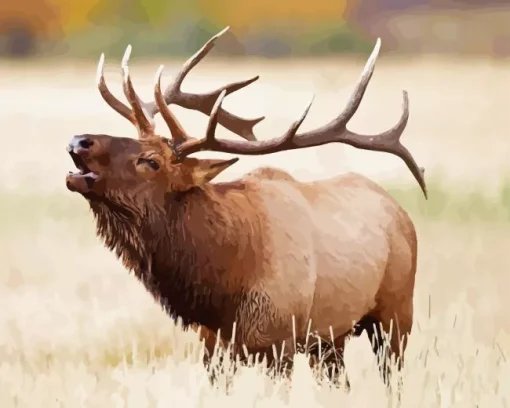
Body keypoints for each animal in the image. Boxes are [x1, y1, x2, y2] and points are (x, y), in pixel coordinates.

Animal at [65, 27, 428, 384]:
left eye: (151, 161)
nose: (79, 141)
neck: (224, 290)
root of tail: (401, 213)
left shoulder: (279, 341)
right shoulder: (213, 346)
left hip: (396, 314)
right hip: (330, 338)